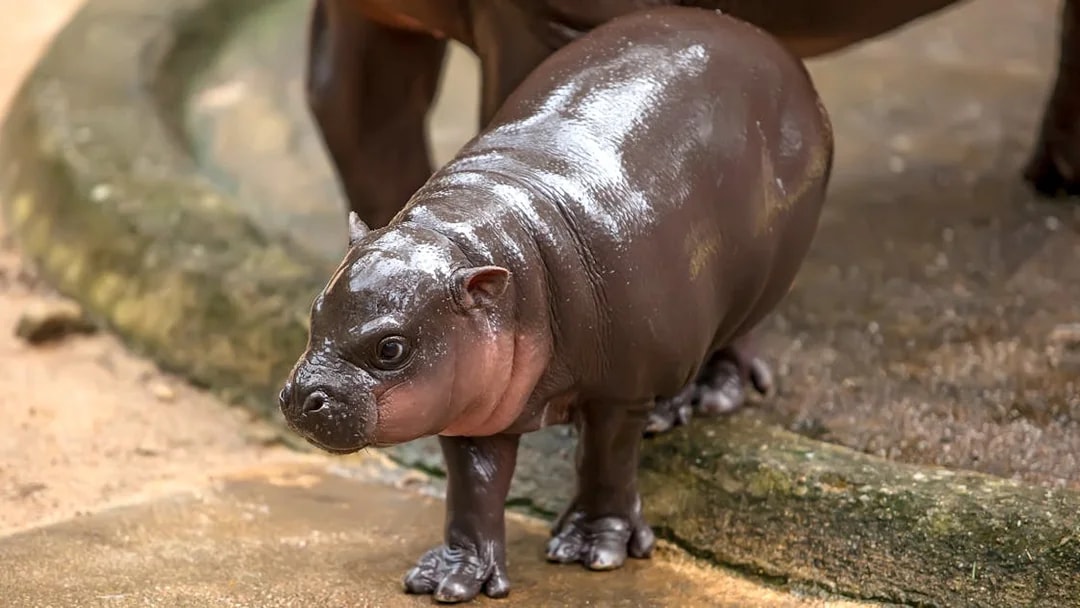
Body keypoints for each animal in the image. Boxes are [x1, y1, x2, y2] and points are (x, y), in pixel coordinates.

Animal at [280, 7, 833, 603]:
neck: (504, 255)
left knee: (740, 332)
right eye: (316, 309)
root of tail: (758, 38)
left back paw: (704, 397)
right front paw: (449, 577)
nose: (302, 395)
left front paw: (594, 549)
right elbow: (472, 490)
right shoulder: (471, 401)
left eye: (390, 348)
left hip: (765, 273)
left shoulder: (620, 391)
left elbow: (604, 462)